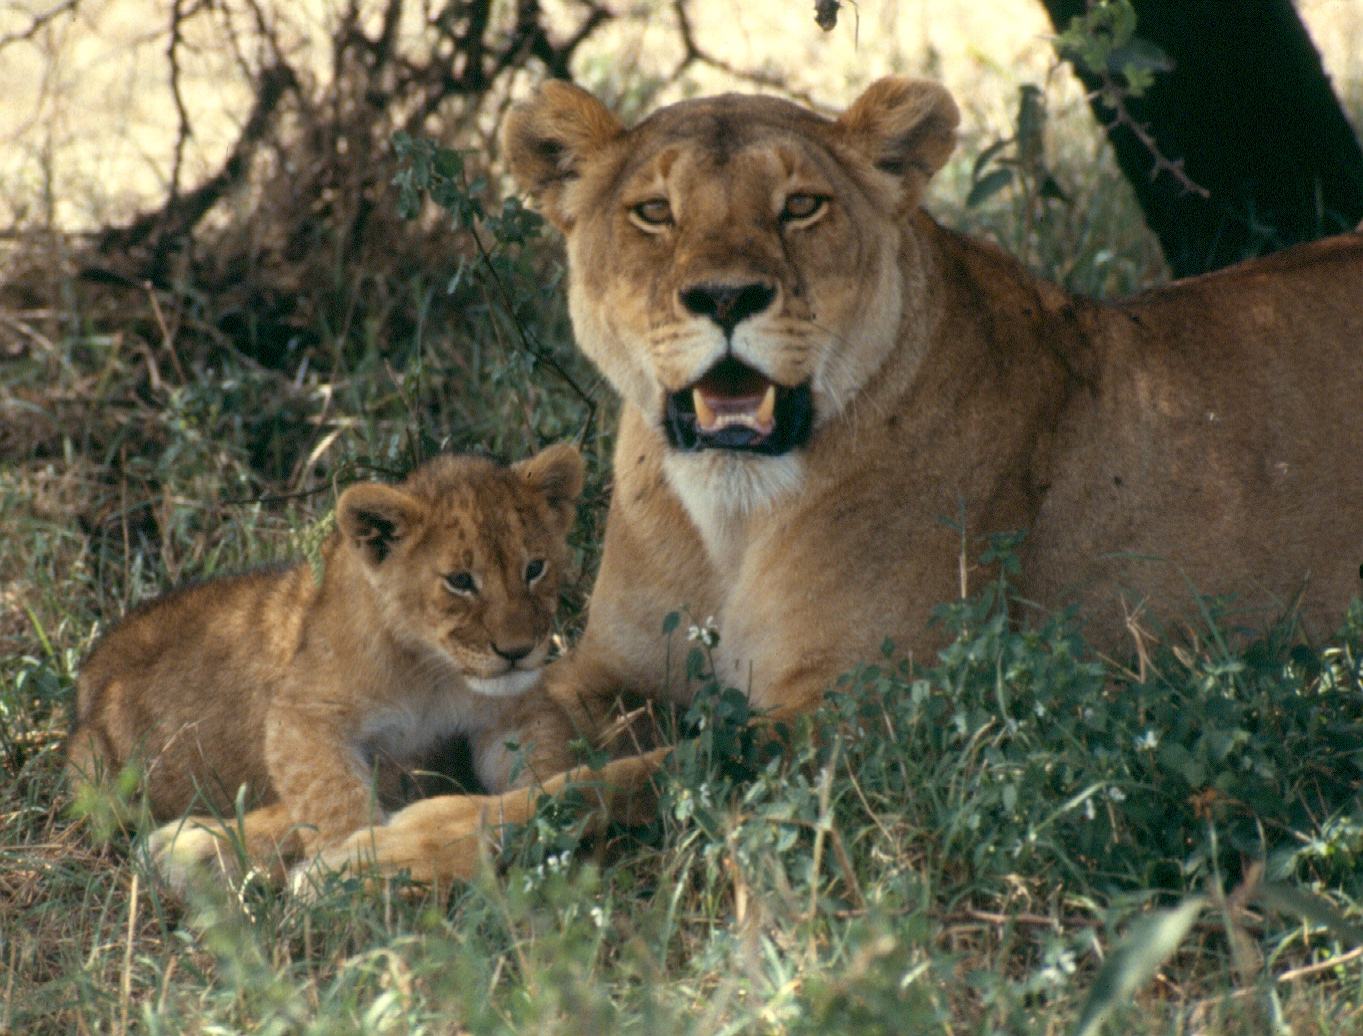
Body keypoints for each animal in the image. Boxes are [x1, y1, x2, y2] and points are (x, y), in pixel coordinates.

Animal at [66, 443, 586, 887]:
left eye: (534, 568)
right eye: (460, 581)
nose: (517, 650)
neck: (432, 672)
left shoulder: (513, 712)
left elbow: (543, 777)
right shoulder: (303, 714)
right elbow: (334, 799)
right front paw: (351, 880)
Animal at [298, 77, 1363, 886]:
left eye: (800, 206)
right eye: (655, 212)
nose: (726, 297)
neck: (728, 513)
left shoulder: (874, 715)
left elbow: (648, 777)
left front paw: (394, 852)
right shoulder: (608, 668)